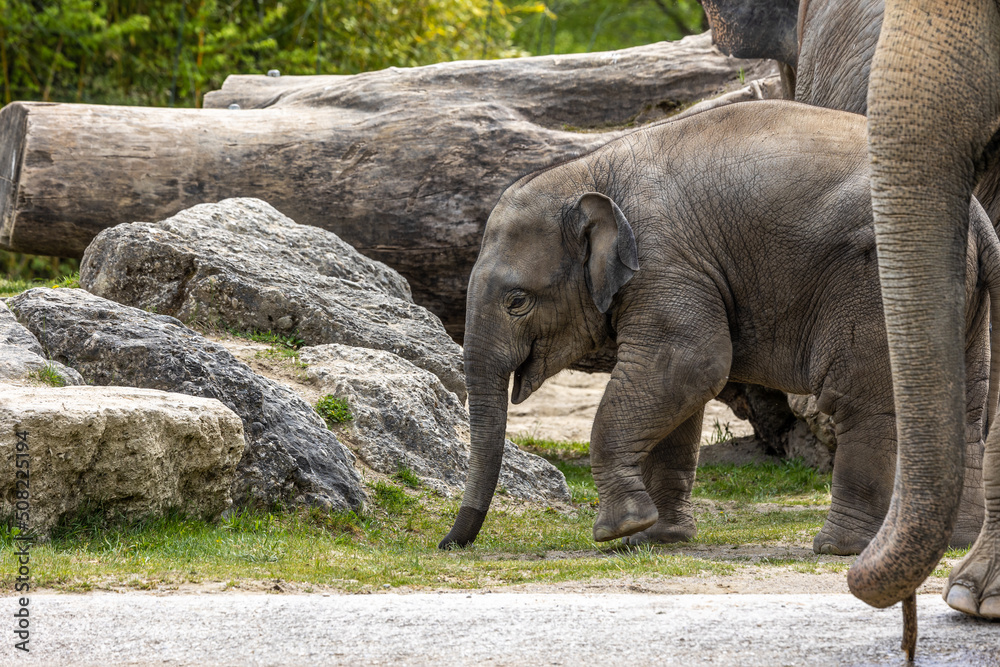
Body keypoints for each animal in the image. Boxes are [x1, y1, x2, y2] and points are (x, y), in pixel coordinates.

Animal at [439, 100, 999, 560]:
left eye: (517, 302)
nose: (449, 544)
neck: (587, 171)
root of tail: (978, 216)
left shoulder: (665, 264)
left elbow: (689, 365)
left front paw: (618, 531)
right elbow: (679, 396)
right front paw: (656, 538)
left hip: (876, 279)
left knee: (860, 401)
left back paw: (837, 547)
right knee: (964, 403)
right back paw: (956, 541)